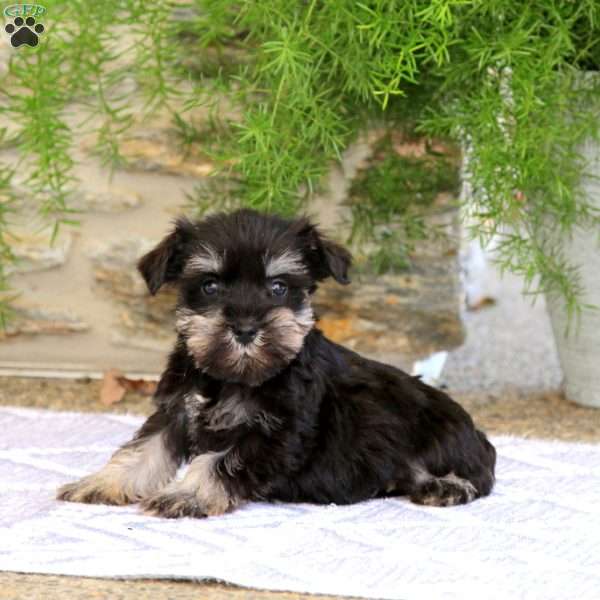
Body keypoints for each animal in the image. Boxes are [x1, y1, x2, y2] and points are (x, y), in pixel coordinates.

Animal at [57, 210, 496, 516]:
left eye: (278, 286)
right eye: (210, 285)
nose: (245, 329)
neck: (233, 378)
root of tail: (475, 430)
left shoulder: (275, 434)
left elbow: (220, 461)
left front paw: (186, 493)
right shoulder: (175, 412)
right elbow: (141, 450)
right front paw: (101, 483)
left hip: (441, 433)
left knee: (480, 473)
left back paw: (445, 487)